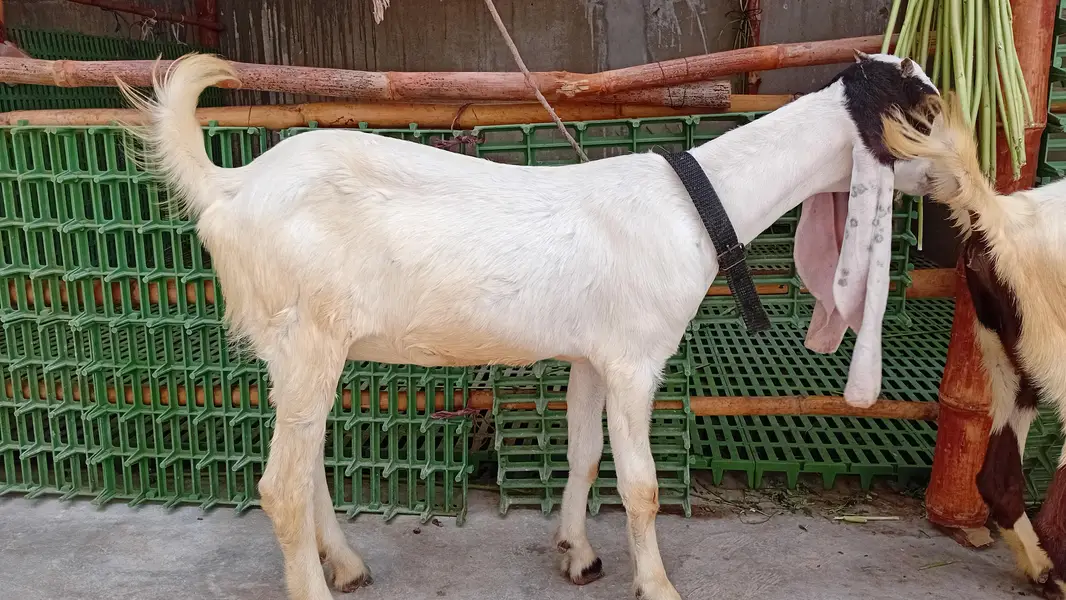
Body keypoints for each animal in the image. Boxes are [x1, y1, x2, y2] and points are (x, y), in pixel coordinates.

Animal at [115, 52, 938, 600]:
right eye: (929, 110)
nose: (957, 177)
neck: (697, 203)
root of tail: (231, 186)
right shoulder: (636, 357)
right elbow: (640, 484)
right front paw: (657, 584)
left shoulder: (591, 354)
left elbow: (583, 455)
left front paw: (577, 554)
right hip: (308, 336)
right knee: (280, 483)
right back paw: (318, 582)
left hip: (295, 347)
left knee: (305, 457)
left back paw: (345, 565)